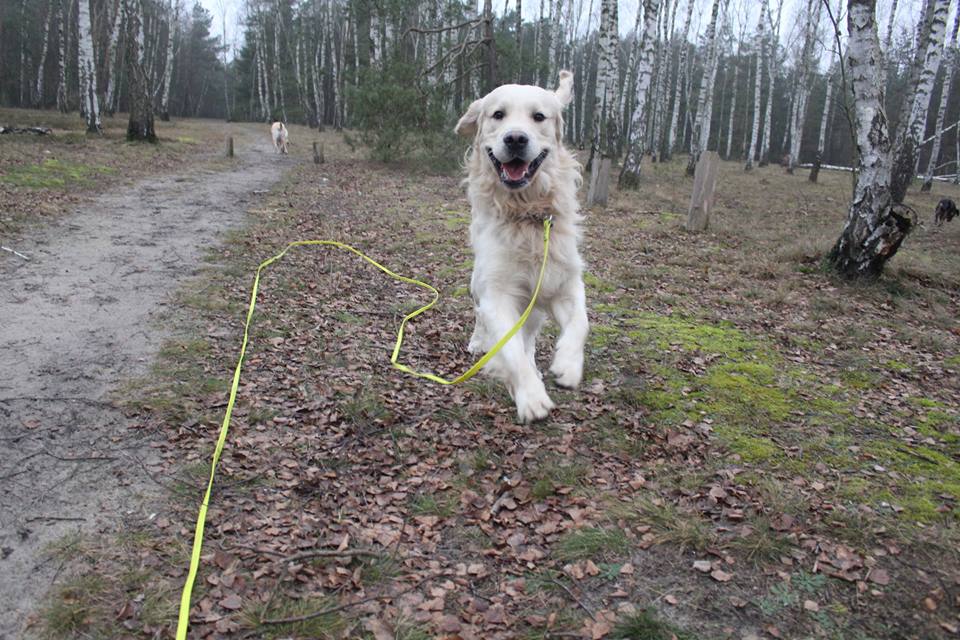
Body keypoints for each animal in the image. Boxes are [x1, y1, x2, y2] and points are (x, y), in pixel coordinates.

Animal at [455, 70, 588, 423]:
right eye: (497, 114)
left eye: (538, 117)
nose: (515, 139)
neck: (528, 214)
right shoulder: (497, 292)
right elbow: (509, 347)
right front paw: (531, 396)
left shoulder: (563, 281)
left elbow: (581, 323)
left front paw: (567, 366)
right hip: (478, 282)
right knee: (481, 317)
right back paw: (479, 342)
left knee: (528, 336)